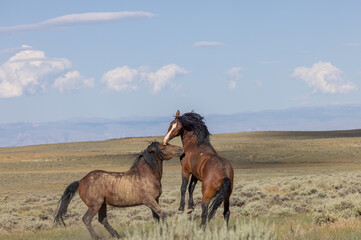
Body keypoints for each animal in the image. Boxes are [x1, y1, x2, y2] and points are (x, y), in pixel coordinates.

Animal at [54, 142, 183, 239]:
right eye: (163, 147)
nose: (181, 149)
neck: (146, 175)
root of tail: (80, 181)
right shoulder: (149, 200)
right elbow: (163, 215)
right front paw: (167, 233)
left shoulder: (156, 199)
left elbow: (157, 218)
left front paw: (160, 233)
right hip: (95, 205)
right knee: (86, 219)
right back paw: (98, 237)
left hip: (102, 204)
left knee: (103, 220)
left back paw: (117, 235)